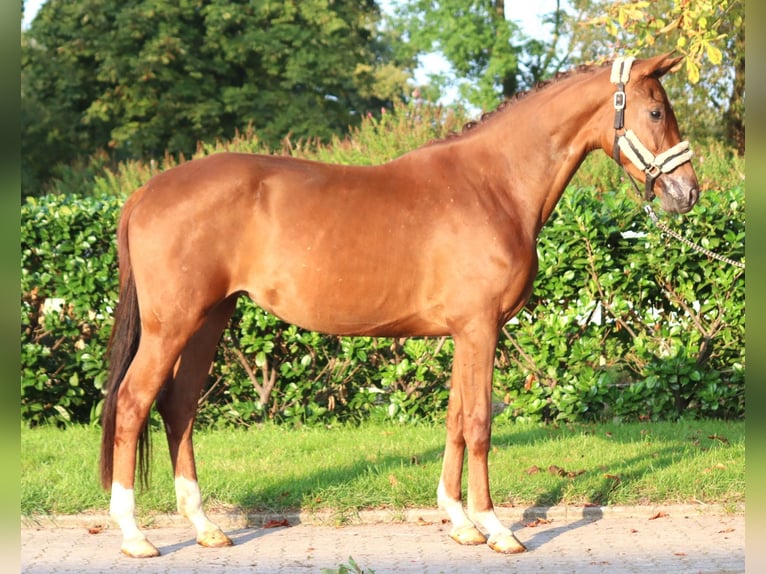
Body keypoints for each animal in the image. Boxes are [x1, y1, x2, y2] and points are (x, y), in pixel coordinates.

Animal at [99, 54, 700, 560]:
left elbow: (456, 419)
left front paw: (459, 522)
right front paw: (496, 528)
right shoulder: (480, 329)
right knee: (132, 403)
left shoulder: (464, 332)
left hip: (209, 320)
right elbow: (479, 422)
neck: (493, 185)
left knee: (179, 407)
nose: (688, 193)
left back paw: (204, 527)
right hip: (172, 326)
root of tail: (145, 193)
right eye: (655, 110)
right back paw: (134, 535)